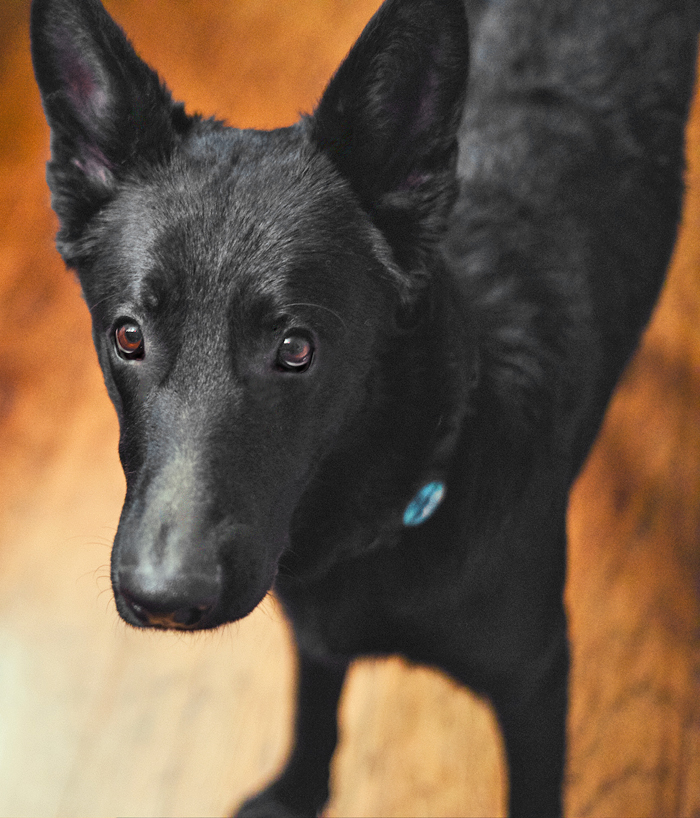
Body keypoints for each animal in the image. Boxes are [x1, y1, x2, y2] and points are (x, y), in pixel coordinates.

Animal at [31, 0, 699, 814]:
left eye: (296, 347)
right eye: (128, 335)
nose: (163, 597)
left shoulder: (537, 680)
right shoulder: (314, 634)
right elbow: (316, 706)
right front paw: (298, 790)